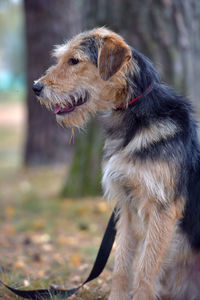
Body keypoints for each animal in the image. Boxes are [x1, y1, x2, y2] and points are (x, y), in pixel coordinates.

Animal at [32, 28, 200, 300]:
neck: (135, 118)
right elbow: (121, 264)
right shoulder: (127, 206)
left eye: (74, 61)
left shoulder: (163, 209)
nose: (36, 87)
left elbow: (145, 268)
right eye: (60, 58)